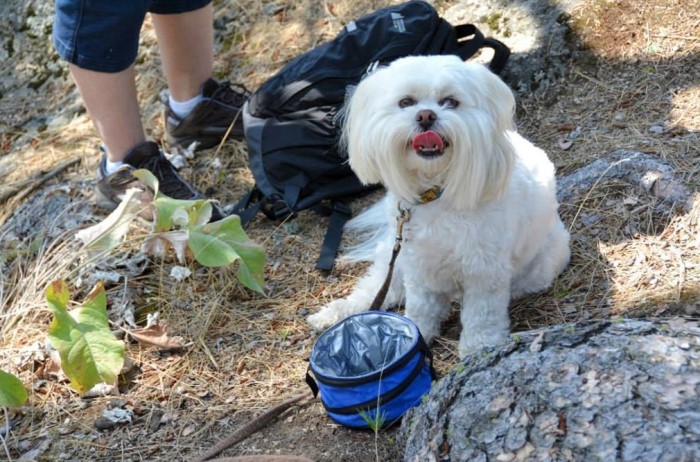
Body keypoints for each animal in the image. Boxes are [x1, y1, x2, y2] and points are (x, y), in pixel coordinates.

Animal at [306, 54, 568, 358]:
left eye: (450, 102)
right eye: (406, 102)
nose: (426, 115)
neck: (435, 193)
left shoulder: (484, 269)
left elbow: (482, 312)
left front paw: (479, 347)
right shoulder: (418, 264)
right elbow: (421, 305)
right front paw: (416, 332)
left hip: (543, 264)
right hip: (395, 254)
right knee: (380, 286)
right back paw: (339, 311)